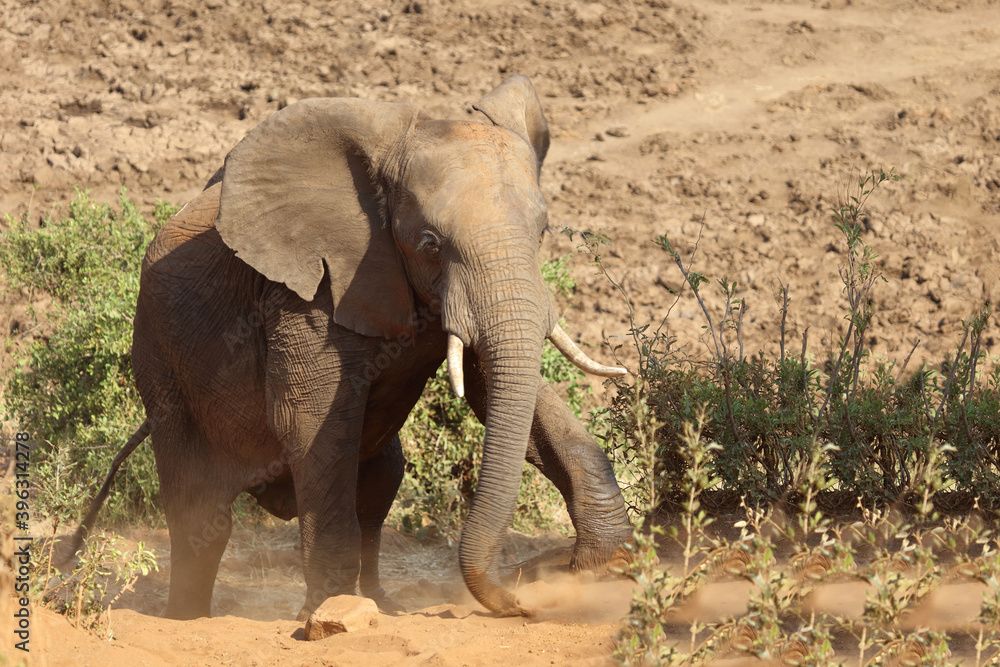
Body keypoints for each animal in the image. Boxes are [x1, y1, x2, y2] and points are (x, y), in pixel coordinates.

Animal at [73, 75, 634, 621]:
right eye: (430, 244)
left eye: (542, 232)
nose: (518, 603)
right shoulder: (309, 288)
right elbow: (309, 420)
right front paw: (327, 614)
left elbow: (503, 390)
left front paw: (607, 566)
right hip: (159, 359)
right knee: (201, 515)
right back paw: (187, 620)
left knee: (380, 486)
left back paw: (381, 604)